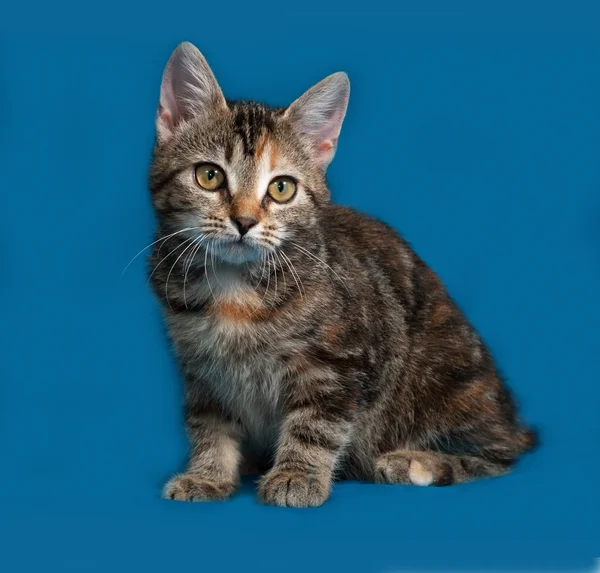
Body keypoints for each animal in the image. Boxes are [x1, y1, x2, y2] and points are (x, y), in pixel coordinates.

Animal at [148, 41, 536, 504]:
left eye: (281, 188)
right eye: (209, 176)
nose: (244, 221)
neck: (236, 288)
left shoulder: (341, 362)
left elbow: (317, 422)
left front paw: (296, 475)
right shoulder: (201, 370)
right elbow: (209, 423)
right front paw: (208, 474)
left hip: (445, 377)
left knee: (500, 455)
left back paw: (418, 463)